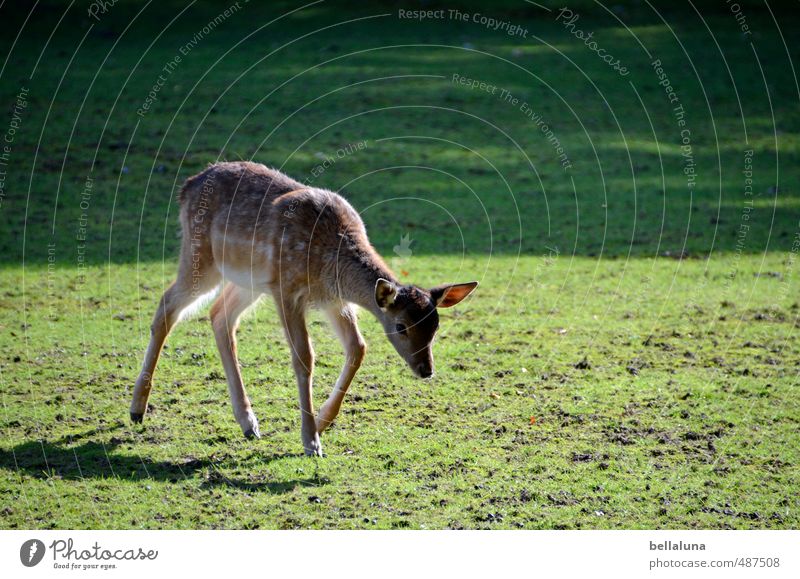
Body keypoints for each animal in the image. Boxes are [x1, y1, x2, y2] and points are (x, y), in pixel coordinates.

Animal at [130, 161, 476, 456]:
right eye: (401, 326)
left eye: (435, 326)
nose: (426, 369)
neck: (330, 263)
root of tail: (186, 186)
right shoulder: (287, 290)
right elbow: (304, 357)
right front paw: (311, 441)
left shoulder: (333, 301)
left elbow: (358, 348)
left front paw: (322, 423)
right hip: (201, 256)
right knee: (167, 305)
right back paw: (137, 410)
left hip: (249, 281)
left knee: (219, 316)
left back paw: (248, 424)